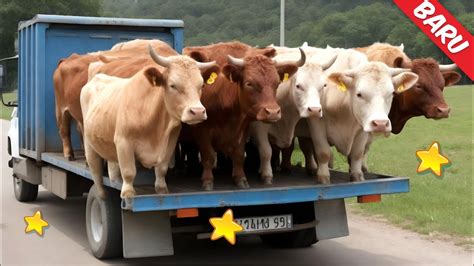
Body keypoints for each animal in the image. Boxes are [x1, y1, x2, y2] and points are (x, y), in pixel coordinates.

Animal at [82, 46, 220, 200]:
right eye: (173, 85)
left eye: (201, 85)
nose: (197, 111)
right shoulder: (123, 142)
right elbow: (129, 171)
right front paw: (128, 192)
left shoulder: (170, 142)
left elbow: (162, 168)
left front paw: (161, 188)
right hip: (89, 144)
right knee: (96, 173)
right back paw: (101, 195)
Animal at [180, 41, 306, 190]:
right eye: (249, 83)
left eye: (277, 83)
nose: (273, 112)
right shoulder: (202, 129)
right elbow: (208, 156)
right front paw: (207, 180)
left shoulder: (243, 127)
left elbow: (239, 155)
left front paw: (240, 178)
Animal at [248, 44, 336, 184]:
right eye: (298, 86)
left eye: (324, 85)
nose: (315, 110)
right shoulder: (258, 127)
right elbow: (266, 150)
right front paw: (266, 174)